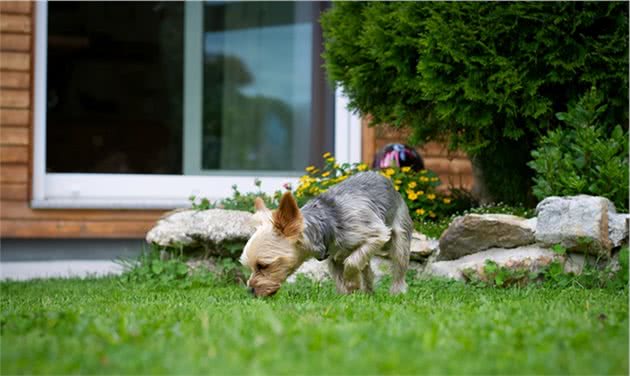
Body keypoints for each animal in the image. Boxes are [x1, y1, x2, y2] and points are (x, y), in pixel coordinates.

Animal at [239, 170, 412, 296]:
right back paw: (368, 293)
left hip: (400, 238)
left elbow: (352, 262)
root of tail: (384, 177)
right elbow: (342, 275)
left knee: (399, 265)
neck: (326, 226)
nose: (250, 291)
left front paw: (352, 283)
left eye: (263, 265)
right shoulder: (335, 258)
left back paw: (396, 292)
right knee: (366, 269)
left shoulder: (377, 233)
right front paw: (347, 295)